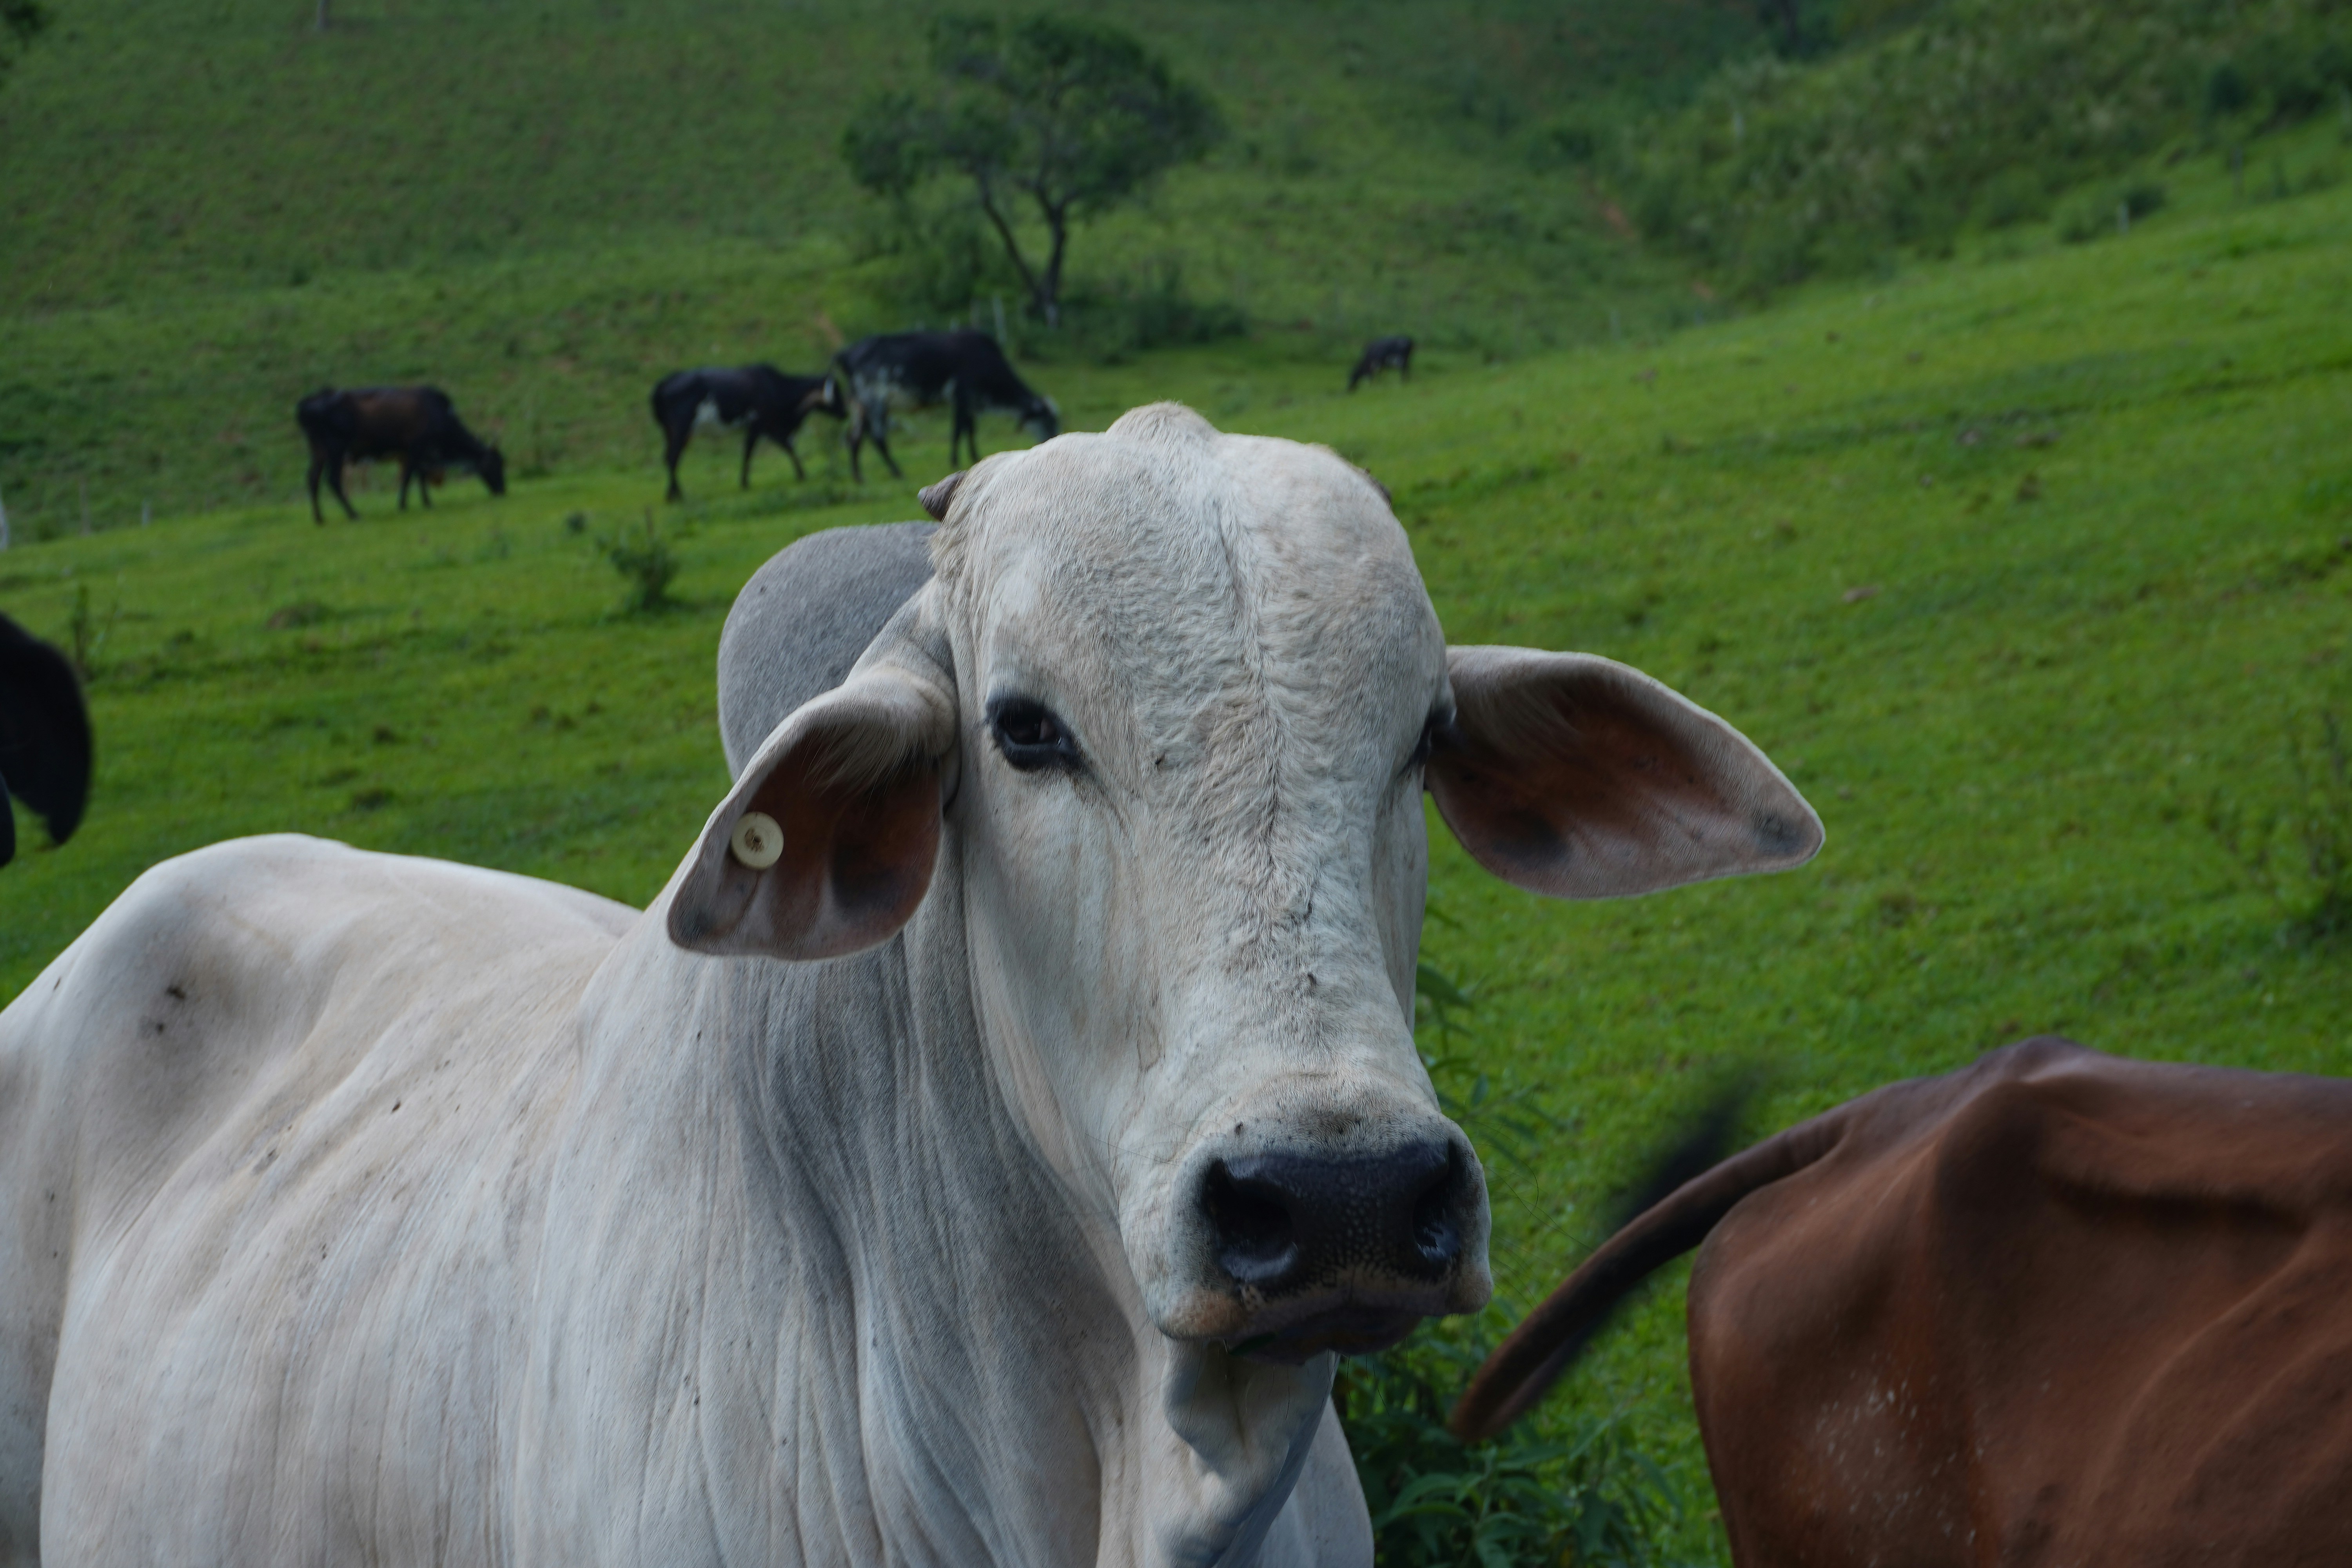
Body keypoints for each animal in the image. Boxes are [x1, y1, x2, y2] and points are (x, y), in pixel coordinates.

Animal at [296, 386, 507, 524]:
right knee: (332, 480)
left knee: (312, 479)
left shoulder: (415, 452)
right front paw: (403, 504)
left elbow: (419, 476)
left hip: (319, 451)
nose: (503, 491)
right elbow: (410, 476)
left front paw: (426, 502)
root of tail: (307, 403)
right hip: (337, 450)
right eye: (496, 465)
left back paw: (319, 518)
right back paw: (354, 514)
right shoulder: (416, 448)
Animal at [650, 365, 843, 502]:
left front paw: (801, 473)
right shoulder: (757, 424)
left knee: (670, 457)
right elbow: (749, 452)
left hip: (675, 432)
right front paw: (744, 482)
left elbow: (788, 447)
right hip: (681, 428)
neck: (774, 387)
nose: (846, 412)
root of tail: (664, 383)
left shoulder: (770, 427)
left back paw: (673, 493)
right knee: (673, 457)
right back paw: (677, 494)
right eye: (837, 393)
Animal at [831, 329, 1058, 482]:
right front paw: (956, 461)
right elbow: (958, 430)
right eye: (1047, 421)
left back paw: (859, 477)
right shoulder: (961, 397)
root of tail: (847, 352)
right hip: (874, 400)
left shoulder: (970, 403)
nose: (1053, 439)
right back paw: (897, 472)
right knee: (878, 438)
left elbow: (970, 430)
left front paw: (975, 456)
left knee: (854, 438)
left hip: (860, 405)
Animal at [1347, 337, 1413, 392]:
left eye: (1352, 377)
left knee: (1404, 370)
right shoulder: (1380, 366)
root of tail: (1409, 340)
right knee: (1407, 369)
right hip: (1406, 359)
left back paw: (1402, 381)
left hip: (1401, 359)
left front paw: (1373, 386)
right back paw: (1407, 380)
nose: (1348, 390)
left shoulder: (1375, 366)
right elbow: (1379, 374)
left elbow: (1373, 376)